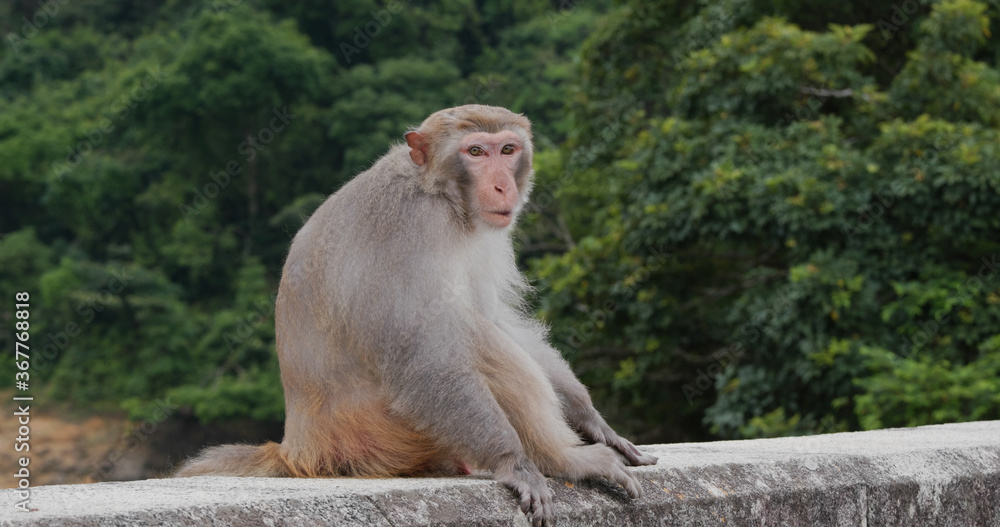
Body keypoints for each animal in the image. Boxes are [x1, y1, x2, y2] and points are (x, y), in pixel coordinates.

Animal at [174, 105, 658, 526]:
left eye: (507, 149)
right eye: (475, 152)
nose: (504, 186)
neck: (440, 194)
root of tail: (298, 447)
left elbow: (496, 316)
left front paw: (591, 418)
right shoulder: (408, 231)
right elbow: (423, 353)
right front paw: (514, 461)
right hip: (376, 437)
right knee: (465, 334)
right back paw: (562, 458)